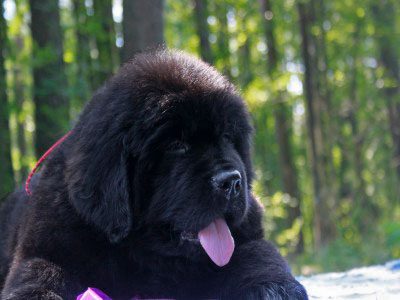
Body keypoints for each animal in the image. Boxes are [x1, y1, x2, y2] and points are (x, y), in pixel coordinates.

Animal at [0, 50, 308, 298]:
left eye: (227, 137)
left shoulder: (247, 235)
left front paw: (274, 289)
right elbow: (43, 273)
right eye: (176, 145)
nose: (232, 182)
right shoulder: (48, 246)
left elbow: (260, 256)